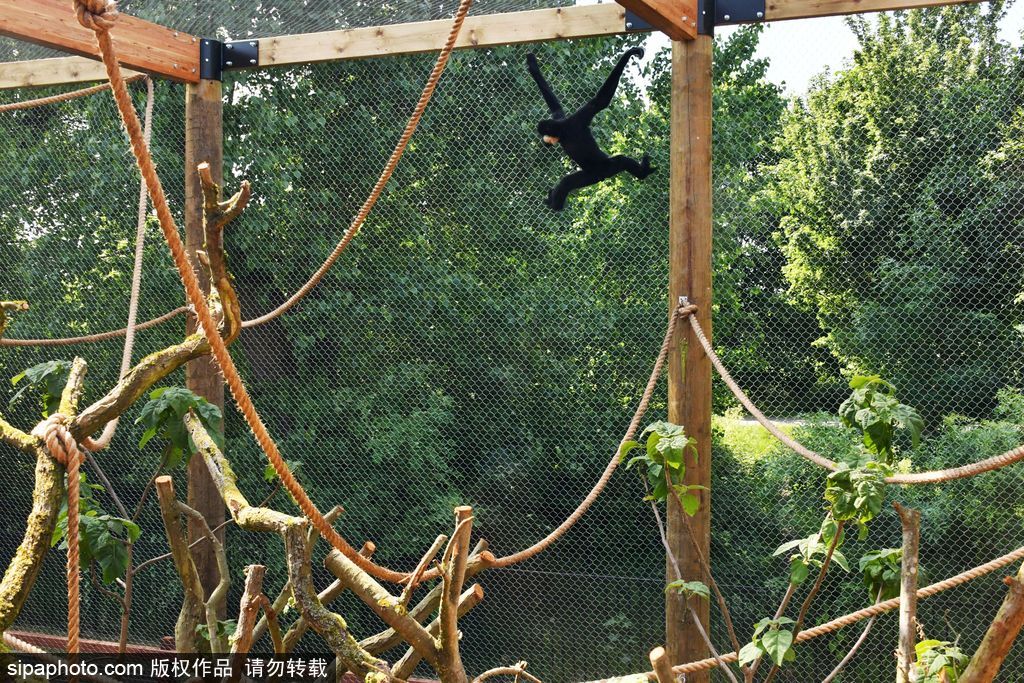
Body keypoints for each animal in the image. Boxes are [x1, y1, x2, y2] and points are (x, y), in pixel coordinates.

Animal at [526, 47, 655, 211]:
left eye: (544, 134)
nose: (544, 140)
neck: (563, 130)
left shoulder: (577, 120)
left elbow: (600, 102)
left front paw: (630, 53)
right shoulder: (561, 119)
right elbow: (556, 107)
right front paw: (533, 66)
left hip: (601, 170)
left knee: (616, 162)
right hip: (594, 174)